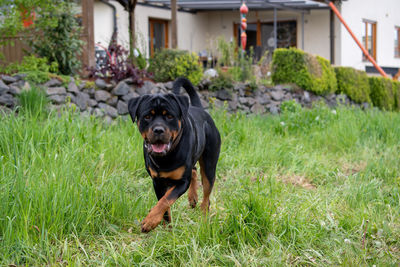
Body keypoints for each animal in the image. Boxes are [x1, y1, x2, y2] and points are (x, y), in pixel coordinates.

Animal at [128, 77, 222, 232]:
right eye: (147, 116)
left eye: (169, 116)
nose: (158, 129)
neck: (166, 157)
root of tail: (200, 109)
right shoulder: (157, 182)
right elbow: (164, 205)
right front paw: (167, 227)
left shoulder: (182, 182)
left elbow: (165, 200)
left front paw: (150, 221)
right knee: (194, 171)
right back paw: (193, 198)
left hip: (209, 165)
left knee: (207, 194)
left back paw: (204, 217)